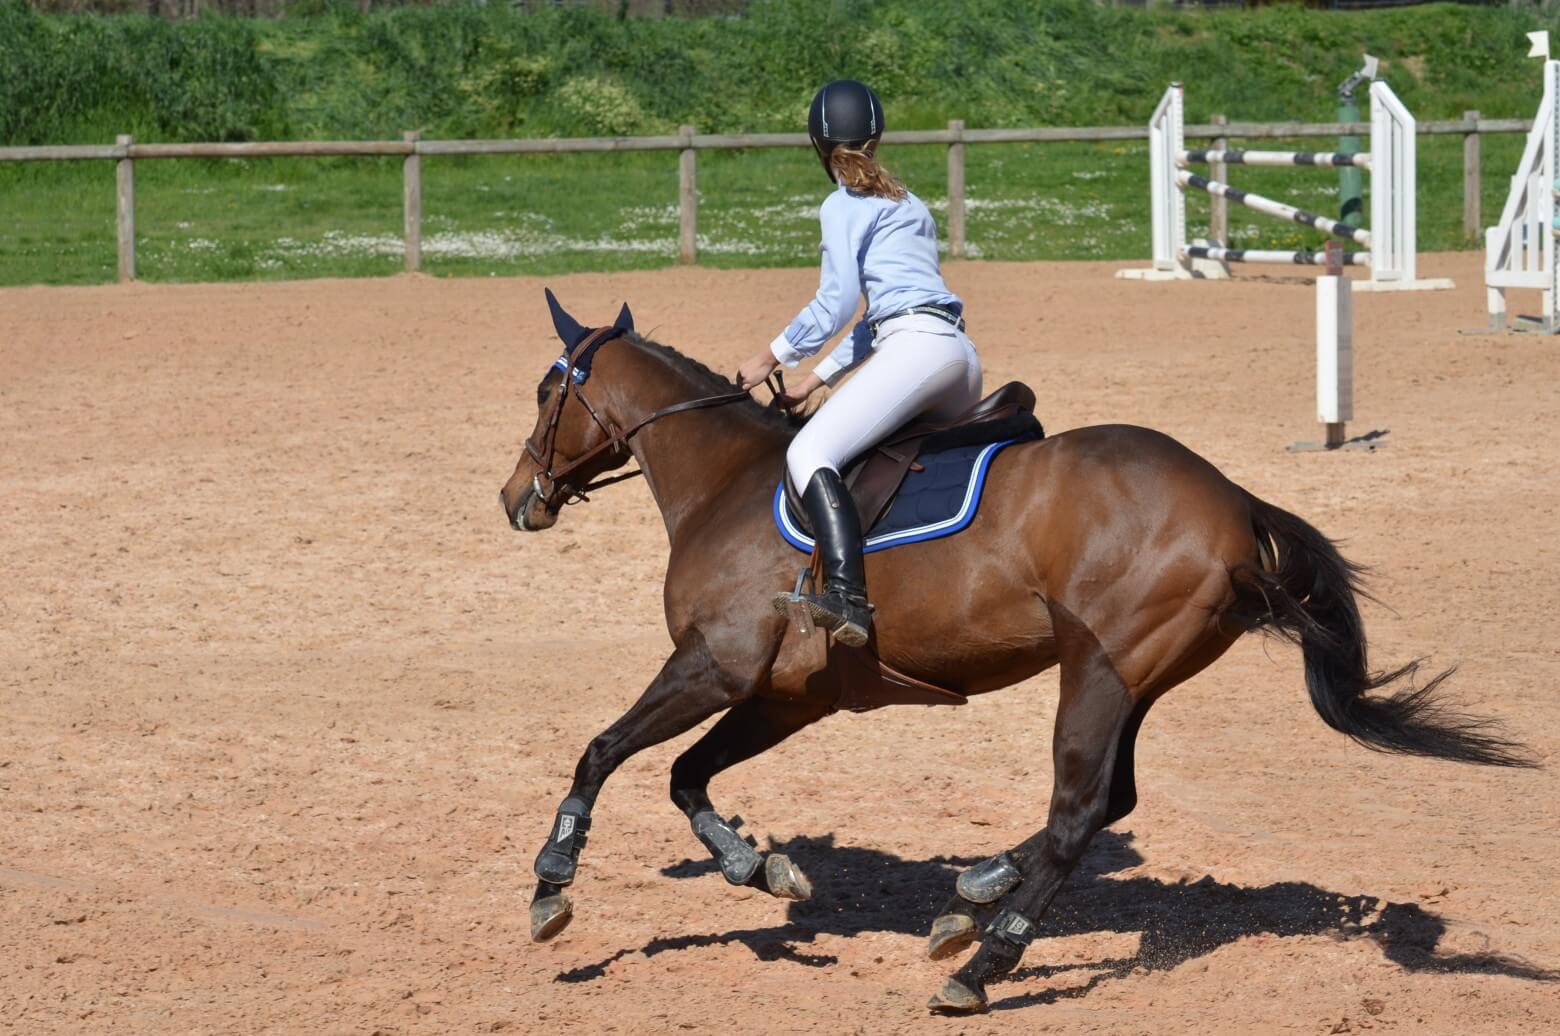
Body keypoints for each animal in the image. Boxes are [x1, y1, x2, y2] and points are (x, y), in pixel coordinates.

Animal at [502, 291, 1535, 1011]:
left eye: (550, 390)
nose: (517, 498)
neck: (727, 480)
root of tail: (1234, 498)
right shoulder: (789, 695)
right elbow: (686, 777)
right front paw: (756, 866)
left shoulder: (713, 665)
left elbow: (603, 751)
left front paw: (552, 884)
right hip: (1132, 677)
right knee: (1109, 800)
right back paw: (972, 896)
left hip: (1100, 671)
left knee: (1079, 813)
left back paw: (985, 960)